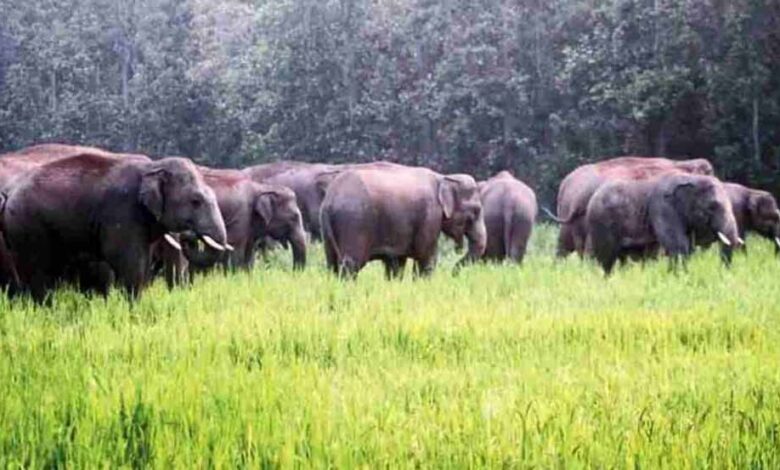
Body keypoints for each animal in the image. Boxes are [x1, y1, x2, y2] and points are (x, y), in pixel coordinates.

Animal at [3, 152, 228, 301]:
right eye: (196, 201)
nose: (189, 236)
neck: (152, 168)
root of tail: (9, 193)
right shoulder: (122, 212)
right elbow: (129, 262)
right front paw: (133, 310)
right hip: (27, 229)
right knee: (38, 274)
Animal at [320, 165, 486, 278]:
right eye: (476, 211)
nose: (454, 274)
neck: (443, 177)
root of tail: (330, 199)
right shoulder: (430, 216)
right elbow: (426, 257)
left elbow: (396, 264)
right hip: (354, 223)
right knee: (351, 265)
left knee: (332, 264)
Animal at [585, 173, 741, 274]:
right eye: (712, 207)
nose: (723, 273)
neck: (690, 178)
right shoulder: (663, 208)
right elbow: (678, 245)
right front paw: (680, 276)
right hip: (600, 222)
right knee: (607, 258)